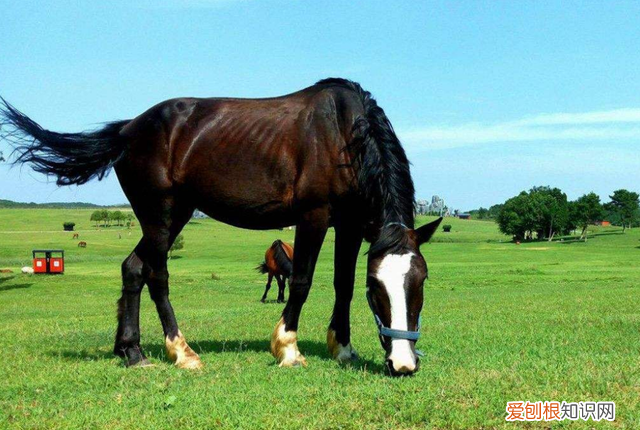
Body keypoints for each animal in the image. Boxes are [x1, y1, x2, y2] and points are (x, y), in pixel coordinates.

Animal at [1, 78, 442, 376]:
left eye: (420, 281)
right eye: (378, 287)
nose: (403, 364)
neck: (342, 134)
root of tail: (128, 129)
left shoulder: (349, 224)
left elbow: (343, 286)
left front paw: (344, 349)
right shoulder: (313, 217)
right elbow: (302, 282)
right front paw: (287, 347)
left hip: (172, 216)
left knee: (133, 269)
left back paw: (132, 351)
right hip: (161, 216)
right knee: (156, 275)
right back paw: (181, 352)